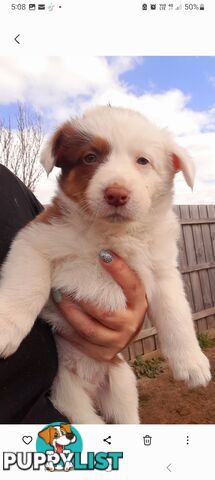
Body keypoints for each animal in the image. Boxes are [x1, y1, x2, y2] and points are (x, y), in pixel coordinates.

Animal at [0, 105, 212, 424]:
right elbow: (26, 288)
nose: (116, 194)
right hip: (67, 395)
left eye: (142, 161)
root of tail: (92, 383)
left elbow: (176, 314)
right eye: (90, 157)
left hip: (123, 383)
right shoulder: (35, 240)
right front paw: (6, 327)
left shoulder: (163, 271)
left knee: (127, 417)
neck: (109, 234)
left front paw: (192, 363)